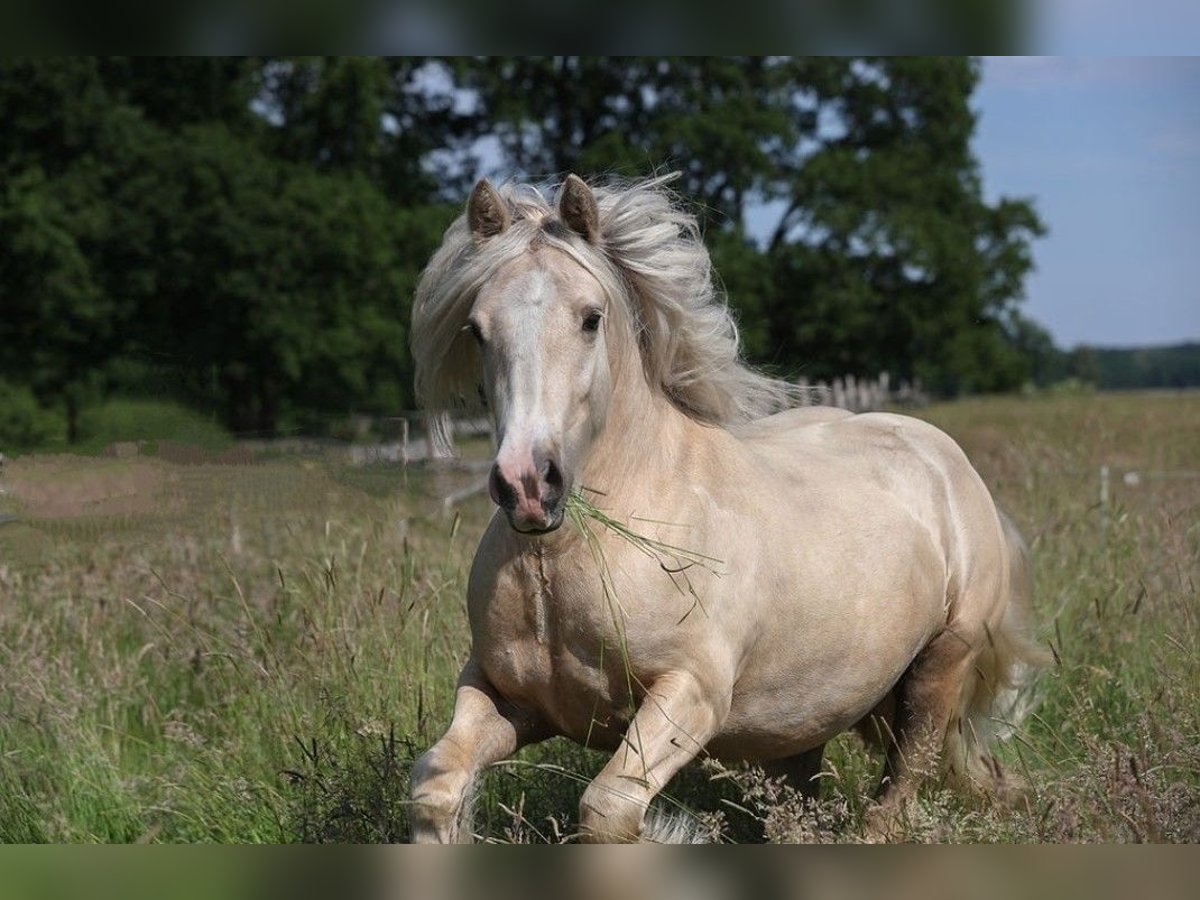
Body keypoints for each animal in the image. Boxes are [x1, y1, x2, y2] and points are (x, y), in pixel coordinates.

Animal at [403, 176, 1041, 844]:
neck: (565, 558)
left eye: (590, 318)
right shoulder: (502, 694)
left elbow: (607, 810)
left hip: (940, 666)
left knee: (897, 791)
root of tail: (948, 460)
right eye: (476, 329)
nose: (528, 484)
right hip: (805, 717)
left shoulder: (691, 694)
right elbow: (437, 788)